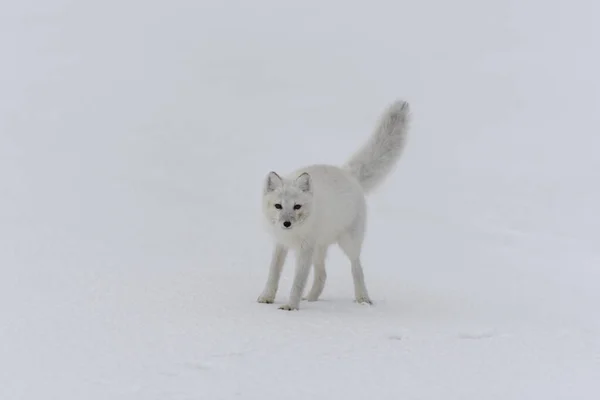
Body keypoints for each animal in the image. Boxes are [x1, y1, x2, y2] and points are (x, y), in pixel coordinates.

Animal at [255, 99, 410, 310]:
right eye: (278, 206)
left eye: (297, 206)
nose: (286, 224)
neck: (294, 234)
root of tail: (348, 174)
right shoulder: (281, 244)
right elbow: (273, 273)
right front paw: (266, 297)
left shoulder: (305, 249)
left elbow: (298, 281)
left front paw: (291, 306)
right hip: (320, 248)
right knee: (322, 275)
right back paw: (311, 298)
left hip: (348, 242)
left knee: (356, 268)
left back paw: (363, 298)